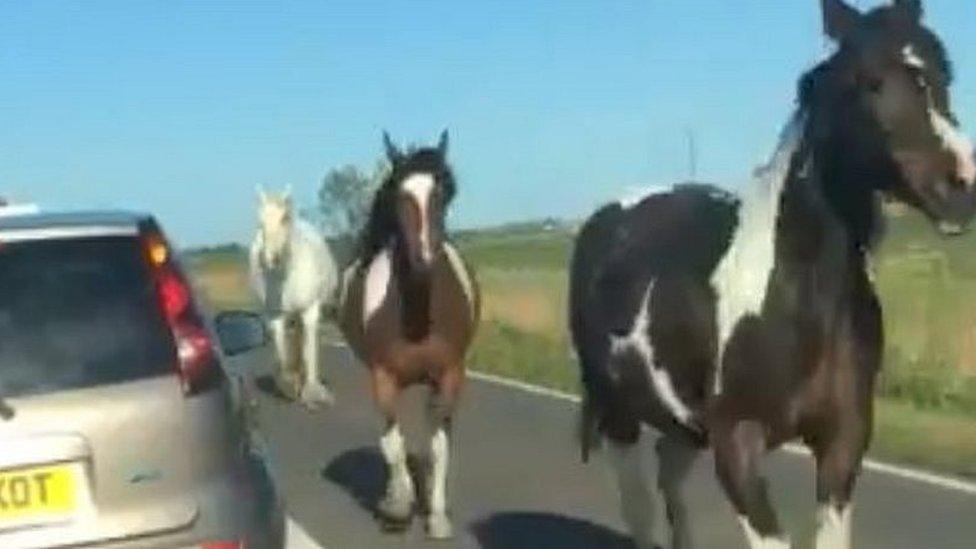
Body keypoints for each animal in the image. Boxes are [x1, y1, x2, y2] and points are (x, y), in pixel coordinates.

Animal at [248, 187, 340, 406]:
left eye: (285, 219)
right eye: (260, 222)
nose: (271, 259)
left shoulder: (310, 311)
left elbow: (309, 350)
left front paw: (312, 390)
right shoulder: (276, 314)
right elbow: (282, 352)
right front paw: (291, 383)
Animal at [340, 131, 480, 536]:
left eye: (444, 191)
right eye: (399, 194)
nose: (424, 259)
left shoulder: (448, 377)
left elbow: (438, 447)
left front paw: (436, 516)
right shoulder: (383, 379)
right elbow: (393, 444)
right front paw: (399, 505)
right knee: (391, 439)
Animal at [572, 2, 976, 544]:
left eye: (944, 71)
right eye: (869, 81)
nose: (961, 187)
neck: (792, 297)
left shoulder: (842, 444)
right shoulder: (736, 444)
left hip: (683, 423)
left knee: (669, 475)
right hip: (619, 412)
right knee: (638, 505)